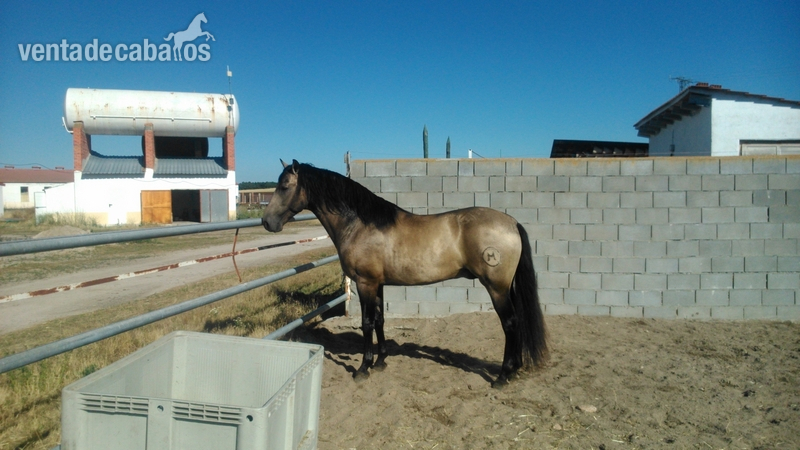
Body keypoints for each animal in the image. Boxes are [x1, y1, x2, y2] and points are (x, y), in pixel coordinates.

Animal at [262, 160, 548, 387]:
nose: (267, 222)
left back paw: (503, 375)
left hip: (496, 288)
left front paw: (363, 368)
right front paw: (381, 361)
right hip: (505, 288)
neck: (359, 225)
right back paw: (515, 368)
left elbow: (366, 323)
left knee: (510, 323)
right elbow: (380, 320)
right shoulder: (377, 284)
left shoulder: (365, 283)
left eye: (285, 186)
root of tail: (511, 222)